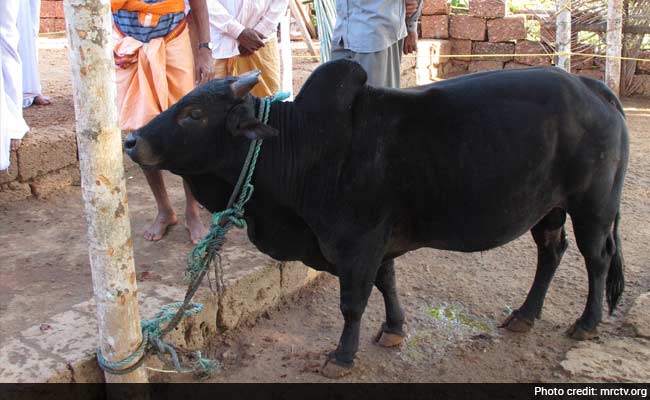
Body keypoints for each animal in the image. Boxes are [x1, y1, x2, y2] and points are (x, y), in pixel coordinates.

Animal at [124, 60, 624, 378]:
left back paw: (587, 322)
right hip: (548, 210)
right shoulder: (377, 244)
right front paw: (394, 329)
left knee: (596, 259)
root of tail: (592, 86)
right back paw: (524, 315)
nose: (131, 140)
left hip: (593, 207)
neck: (304, 146)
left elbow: (353, 302)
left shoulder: (356, 244)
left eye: (192, 113)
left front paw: (341, 357)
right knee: (551, 253)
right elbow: (388, 283)